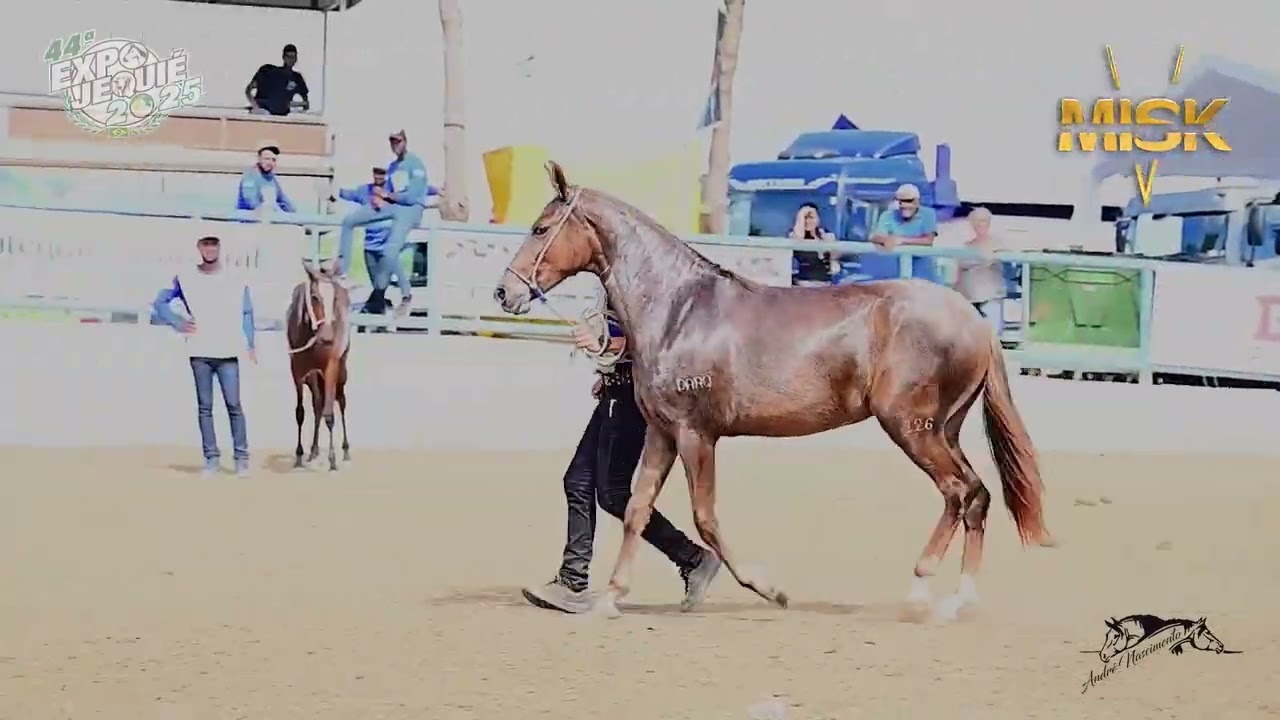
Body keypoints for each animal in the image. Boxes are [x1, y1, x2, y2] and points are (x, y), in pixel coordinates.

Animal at [286, 260, 351, 471]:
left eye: (335, 298)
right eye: (314, 296)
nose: (328, 337)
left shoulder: (330, 369)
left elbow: (329, 414)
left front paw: (332, 461)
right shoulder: (298, 373)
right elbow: (301, 412)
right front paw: (299, 455)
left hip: (342, 371)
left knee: (341, 401)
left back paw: (345, 450)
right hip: (313, 378)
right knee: (317, 404)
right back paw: (313, 451)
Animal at [493, 161, 1054, 620]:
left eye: (540, 228)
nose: (505, 291)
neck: (679, 310)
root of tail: (975, 322)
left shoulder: (698, 435)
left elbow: (706, 518)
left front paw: (769, 589)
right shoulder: (661, 433)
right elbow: (636, 509)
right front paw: (610, 598)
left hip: (911, 427)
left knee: (958, 492)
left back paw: (920, 593)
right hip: (944, 429)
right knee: (977, 494)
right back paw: (960, 599)